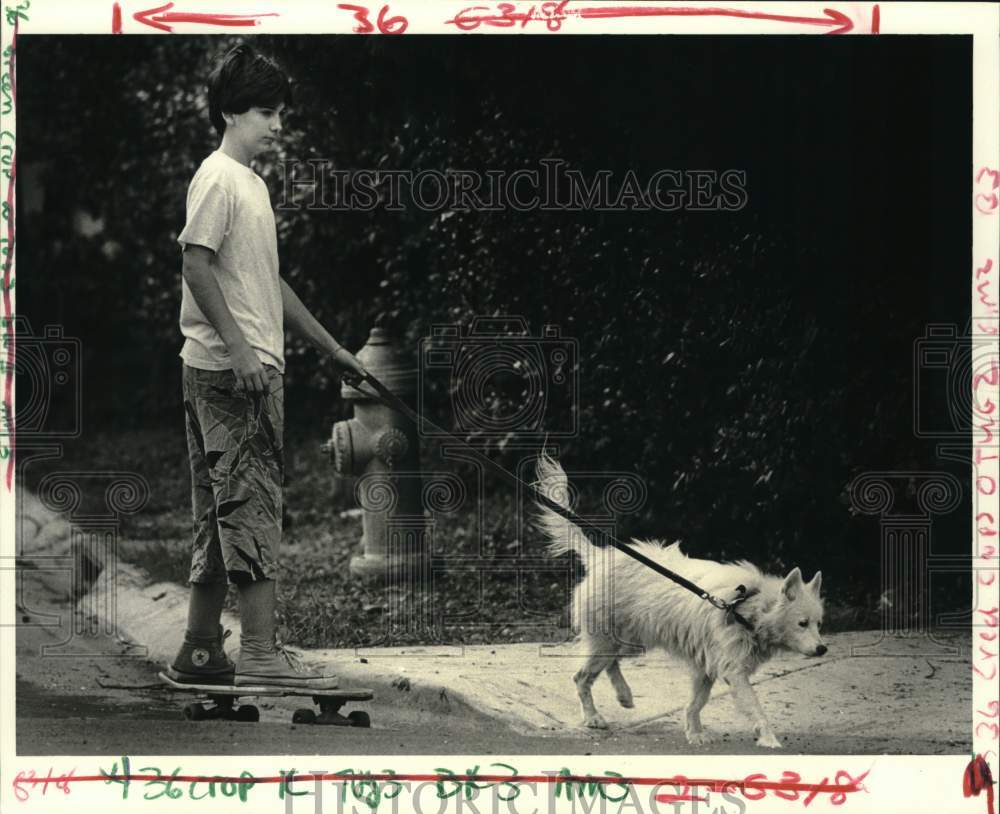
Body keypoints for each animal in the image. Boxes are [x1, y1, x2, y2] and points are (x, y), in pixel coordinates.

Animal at [536, 456, 824, 748]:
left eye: (819, 624)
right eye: (802, 623)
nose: (823, 649)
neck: (747, 608)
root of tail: (598, 557)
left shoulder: (706, 666)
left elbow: (696, 703)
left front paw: (694, 731)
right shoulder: (732, 670)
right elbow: (755, 707)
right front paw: (768, 738)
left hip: (630, 641)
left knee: (610, 665)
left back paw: (624, 695)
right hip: (610, 640)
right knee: (582, 677)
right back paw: (593, 716)